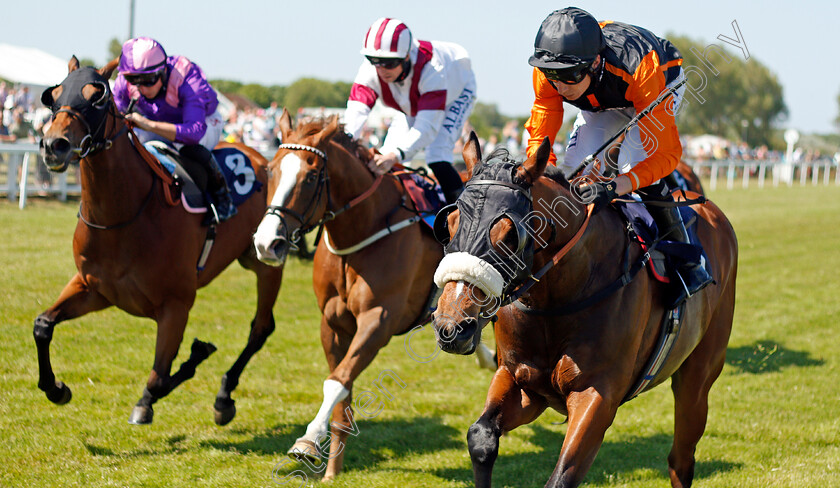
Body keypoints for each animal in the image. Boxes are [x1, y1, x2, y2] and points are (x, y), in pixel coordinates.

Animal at [36, 58, 282, 428]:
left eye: (97, 97)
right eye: (52, 97)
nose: (55, 145)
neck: (125, 216)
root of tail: (260, 157)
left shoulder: (175, 305)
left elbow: (159, 377)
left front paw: (172, 378)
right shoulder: (94, 289)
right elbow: (43, 325)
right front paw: (55, 388)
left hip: (267, 261)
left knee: (261, 327)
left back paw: (224, 397)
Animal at [253, 109, 450, 480]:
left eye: (311, 177)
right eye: (270, 170)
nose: (267, 243)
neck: (364, 227)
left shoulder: (378, 321)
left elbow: (338, 380)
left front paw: (308, 440)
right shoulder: (333, 323)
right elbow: (341, 395)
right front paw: (331, 469)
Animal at [430, 134, 740, 488]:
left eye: (510, 233)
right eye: (448, 224)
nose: (451, 326)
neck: (558, 300)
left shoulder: (597, 395)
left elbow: (562, 476)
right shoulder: (523, 383)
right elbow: (480, 437)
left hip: (698, 375)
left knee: (681, 459)